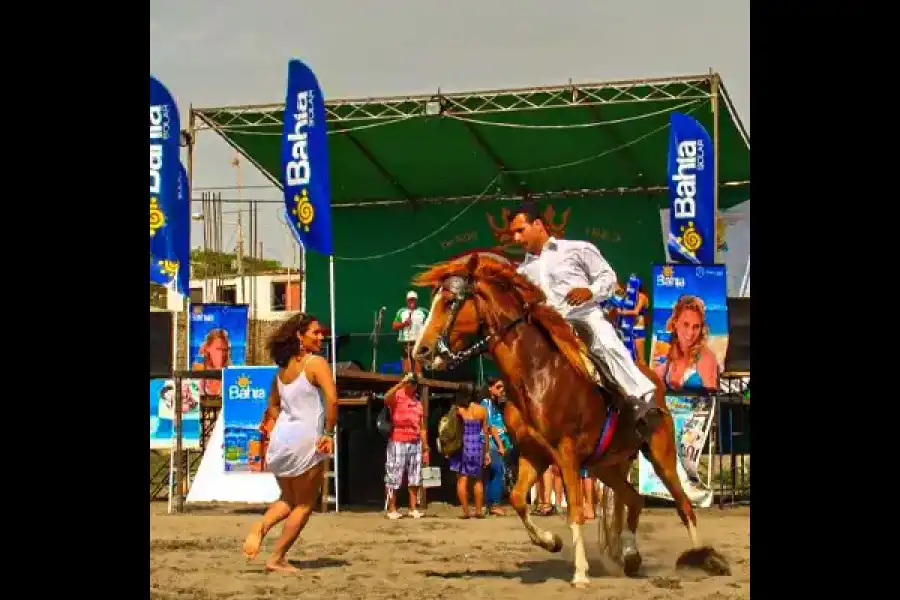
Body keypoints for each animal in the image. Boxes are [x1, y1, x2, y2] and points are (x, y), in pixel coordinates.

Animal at [412, 254, 728, 592]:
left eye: (450, 301)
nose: (421, 350)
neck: (538, 374)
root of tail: (653, 379)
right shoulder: (534, 454)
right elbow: (518, 499)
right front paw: (551, 541)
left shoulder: (566, 454)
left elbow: (575, 509)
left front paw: (580, 572)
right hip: (605, 465)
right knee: (634, 498)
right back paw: (630, 556)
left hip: (661, 454)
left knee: (684, 505)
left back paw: (705, 557)